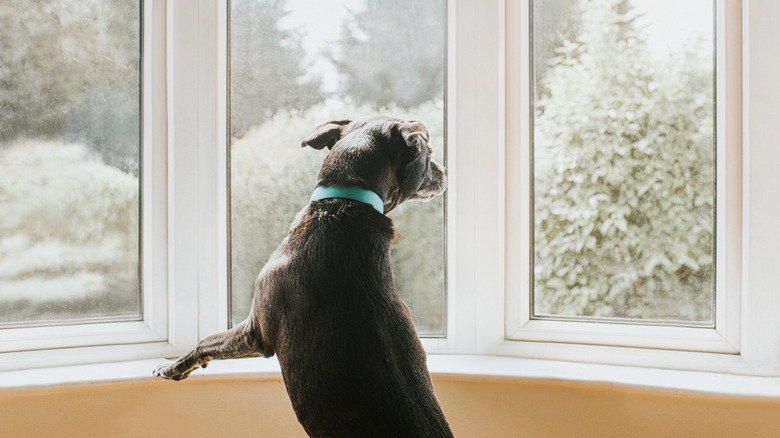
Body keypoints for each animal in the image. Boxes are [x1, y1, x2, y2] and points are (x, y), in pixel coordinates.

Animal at [153, 116, 454, 438]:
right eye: (429, 154)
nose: (445, 172)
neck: (342, 205)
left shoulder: (255, 332)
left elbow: (206, 340)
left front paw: (173, 367)